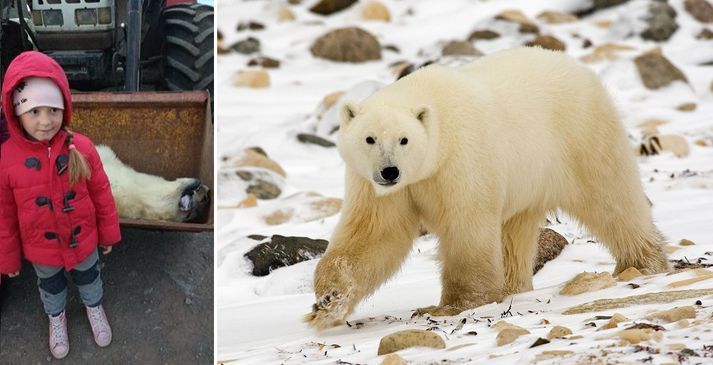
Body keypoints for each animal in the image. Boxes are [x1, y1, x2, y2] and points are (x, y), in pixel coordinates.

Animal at [304, 47, 672, 328]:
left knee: (611, 198)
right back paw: (513, 285)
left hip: (581, 135)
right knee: (514, 232)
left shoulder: (461, 160)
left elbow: (466, 228)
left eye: (404, 139)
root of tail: (580, 69)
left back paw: (641, 262)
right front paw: (328, 301)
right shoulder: (378, 187)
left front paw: (452, 305)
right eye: (370, 138)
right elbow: (374, 235)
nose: (389, 171)